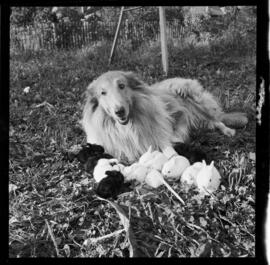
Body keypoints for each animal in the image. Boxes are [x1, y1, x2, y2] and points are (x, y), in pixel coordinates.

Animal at [79, 70, 238, 163]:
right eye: (102, 93)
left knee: (217, 120)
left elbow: (168, 149)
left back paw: (228, 131)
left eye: (122, 86)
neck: (127, 127)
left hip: (194, 99)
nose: (119, 111)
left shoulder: (160, 134)